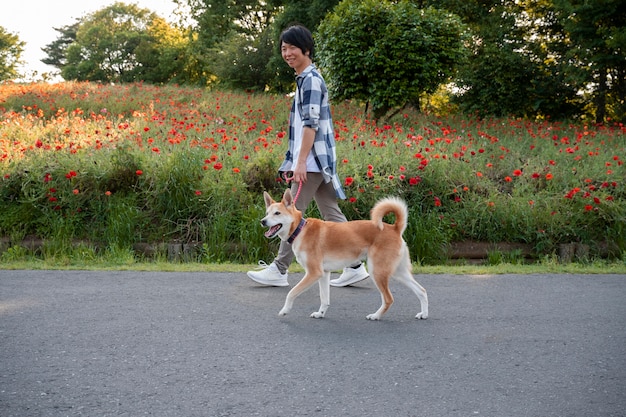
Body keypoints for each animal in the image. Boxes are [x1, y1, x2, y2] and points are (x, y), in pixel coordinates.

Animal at [256, 188, 426, 318]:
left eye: (277, 213)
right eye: (267, 212)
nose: (262, 221)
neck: (300, 230)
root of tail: (394, 228)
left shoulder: (313, 273)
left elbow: (291, 293)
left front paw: (285, 310)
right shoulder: (323, 274)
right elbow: (324, 298)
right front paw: (320, 314)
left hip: (377, 271)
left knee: (389, 299)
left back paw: (376, 316)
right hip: (398, 272)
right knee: (422, 291)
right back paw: (423, 314)